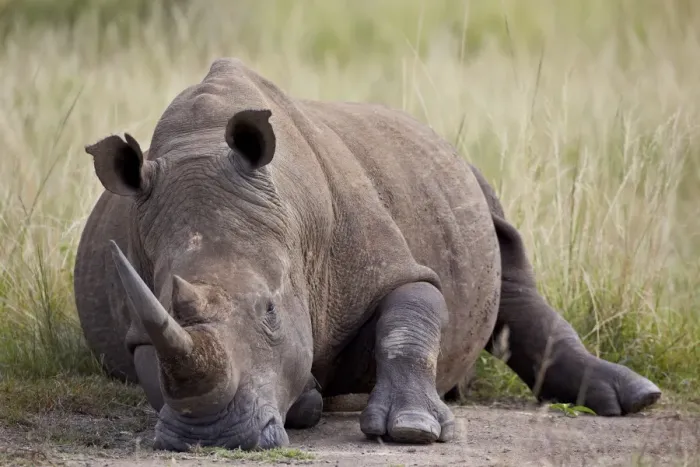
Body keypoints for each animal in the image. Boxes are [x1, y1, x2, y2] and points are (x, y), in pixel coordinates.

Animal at [73, 58, 661, 451]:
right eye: (165, 302)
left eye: (271, 311)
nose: (211, 438)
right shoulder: (138, 324)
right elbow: (154, 370)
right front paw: (306, 399)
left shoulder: (389, 263)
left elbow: (410, 317)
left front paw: (414, 430)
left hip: (462, 170)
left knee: (511, 270)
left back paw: (634, 399)